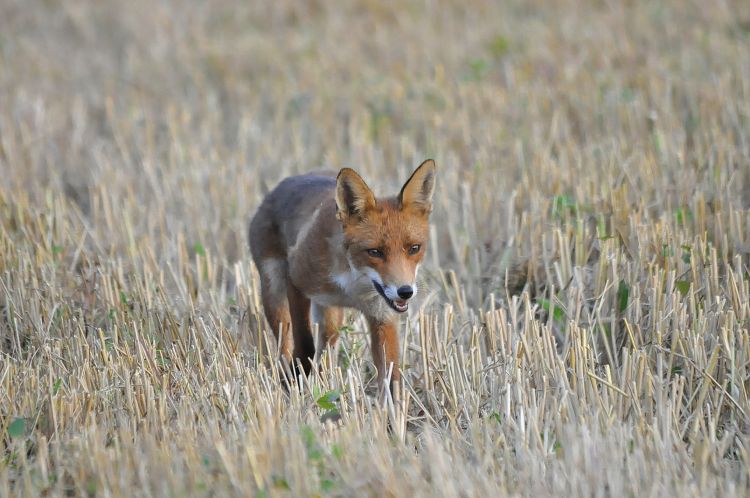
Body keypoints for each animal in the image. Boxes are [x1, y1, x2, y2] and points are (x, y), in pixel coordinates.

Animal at [248, 160, 434, 400]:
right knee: (285, 344)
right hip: (274, 294)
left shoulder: (382, 316)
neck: (352, 285)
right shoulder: (296, 279)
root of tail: (283, 184)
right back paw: (287, 379)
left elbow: (391, 377)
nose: (405, 291)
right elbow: (305, 344)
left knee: (327, 348)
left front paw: (392, 410)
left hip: (331, 318)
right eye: (375, 252)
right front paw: (296, 380)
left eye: (414, 248)